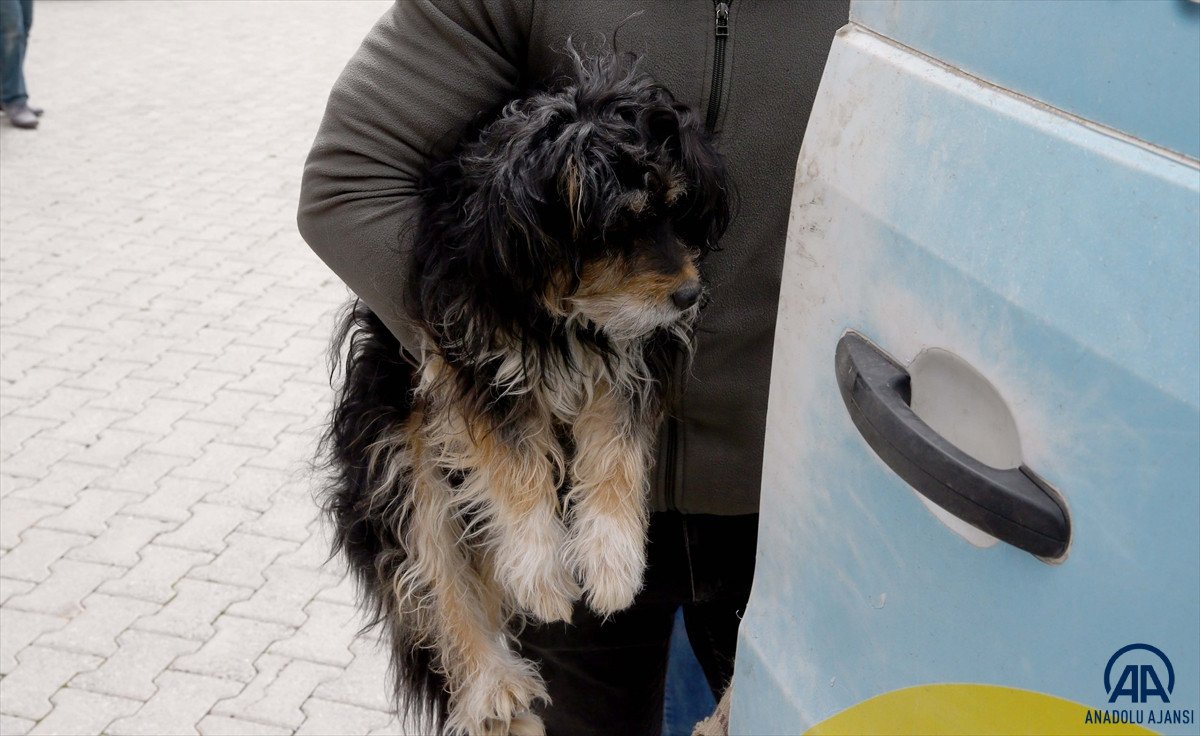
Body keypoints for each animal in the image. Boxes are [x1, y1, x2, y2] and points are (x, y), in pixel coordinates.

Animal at [321, 51, 729, 734]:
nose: (689, 296)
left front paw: (613, 562)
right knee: (436, 576)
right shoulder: (467, 357)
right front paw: (542, 576)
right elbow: (513, 465)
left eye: (676, 210)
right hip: (397, 458)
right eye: (622, 227)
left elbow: (615, 451)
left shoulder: (632, 353)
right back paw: (494, 689)